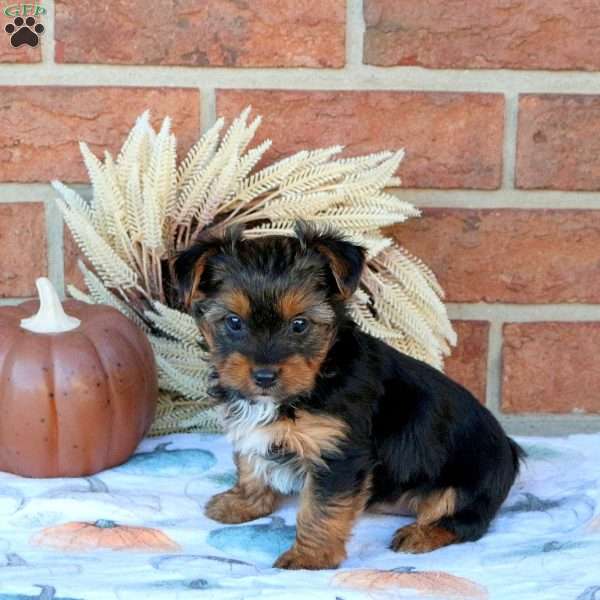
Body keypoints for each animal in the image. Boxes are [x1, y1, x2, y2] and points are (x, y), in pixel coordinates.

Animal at [173, 223, 520, 568]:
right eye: (234, 322)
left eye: (299, 324)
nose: (264, 376)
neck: (319, 374)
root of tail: (510, 449)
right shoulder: (251, 429)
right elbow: (250, 464)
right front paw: (243, 504)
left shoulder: (338, 452)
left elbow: (320, 508)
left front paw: (308, 558)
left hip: (473, 479)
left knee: (467, 519)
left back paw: (420, 534)